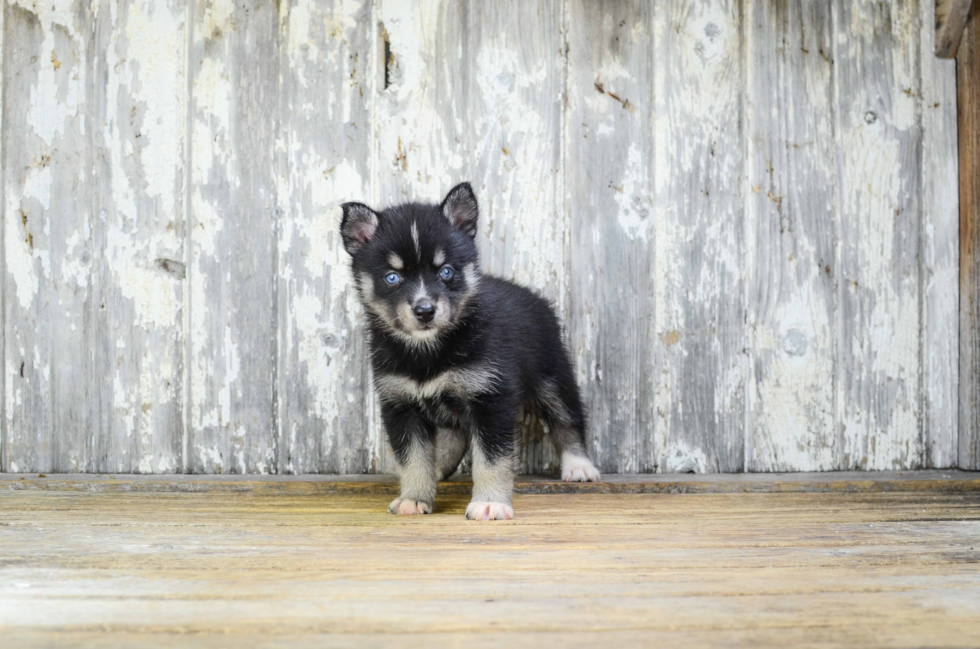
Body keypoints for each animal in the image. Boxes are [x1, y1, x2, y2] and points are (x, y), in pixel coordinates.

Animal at [340, 182, 600, 520]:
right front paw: (414, 497)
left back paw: (579, 465)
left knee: (567, 417)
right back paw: (437, 468)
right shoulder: (400, 401)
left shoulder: (490, 396)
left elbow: (492, 457)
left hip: (552, 374)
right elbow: (413, 458)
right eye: (392, 277)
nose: (425, 311)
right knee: (456, 435)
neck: (429, 350)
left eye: (446, 271)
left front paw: (490, 502)